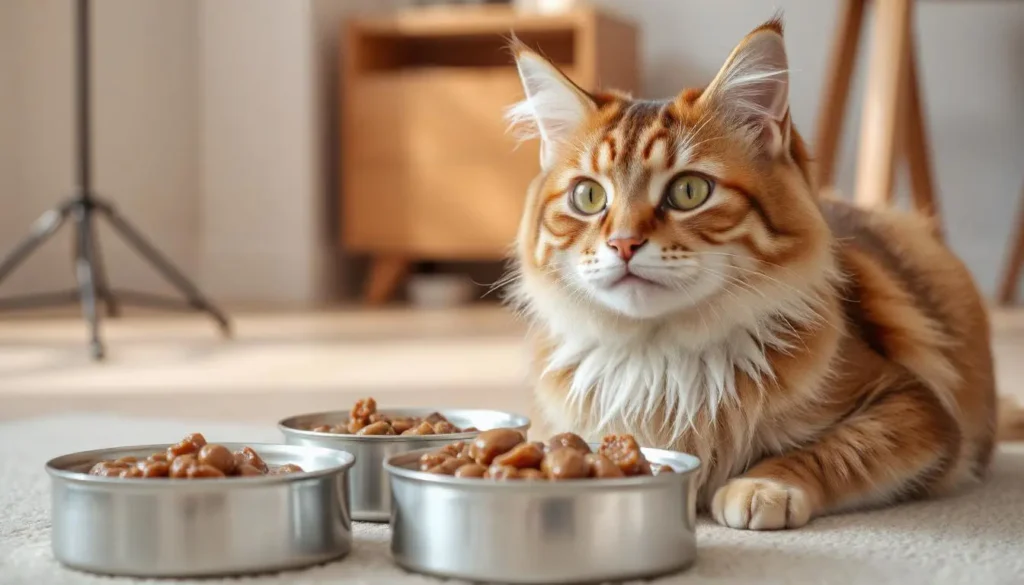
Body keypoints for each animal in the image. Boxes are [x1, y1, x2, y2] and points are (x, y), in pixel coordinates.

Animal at [503, 19, 999, 532]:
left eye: (689, 191)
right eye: (588, 197)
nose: (623, 243)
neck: (663, 357)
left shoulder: (917, 409)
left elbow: (829, 451)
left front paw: (763, 485)